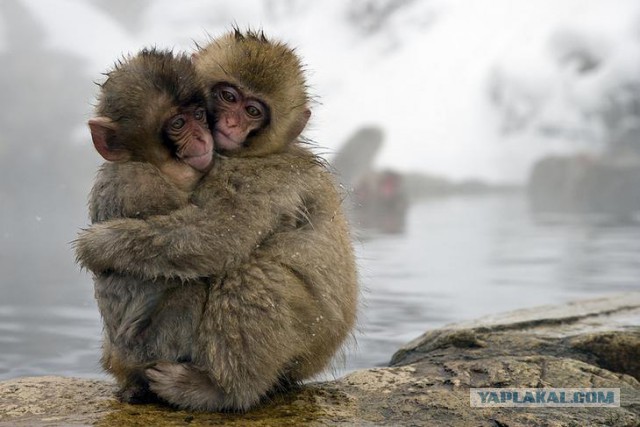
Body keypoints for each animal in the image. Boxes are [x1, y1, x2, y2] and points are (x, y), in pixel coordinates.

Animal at [76, 29, 360, 412]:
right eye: (228, 96)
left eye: (253, 111)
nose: (230, 124)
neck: (259, 153)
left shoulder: (257, 177)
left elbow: (219, 235)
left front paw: (98, 244)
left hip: (309, 339)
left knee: (253, 275)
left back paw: (221, 391)